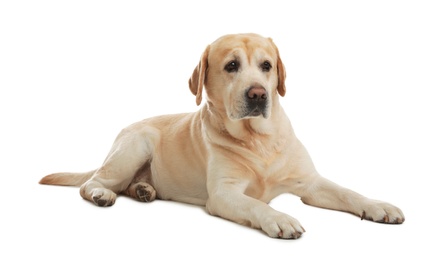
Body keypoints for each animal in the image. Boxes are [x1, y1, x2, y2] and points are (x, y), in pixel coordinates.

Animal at [40, 33, 404, 239]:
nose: (258, 94)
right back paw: (104, 194)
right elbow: (256, 205)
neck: (259, 140)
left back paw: (144, 189)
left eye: (267, 65)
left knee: (127, 184)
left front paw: (378, 206)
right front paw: (279, 218)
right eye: (231, 66)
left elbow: (348, 193)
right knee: (93, 183)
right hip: (134, 146)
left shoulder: (310, 183)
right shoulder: (224, 194)